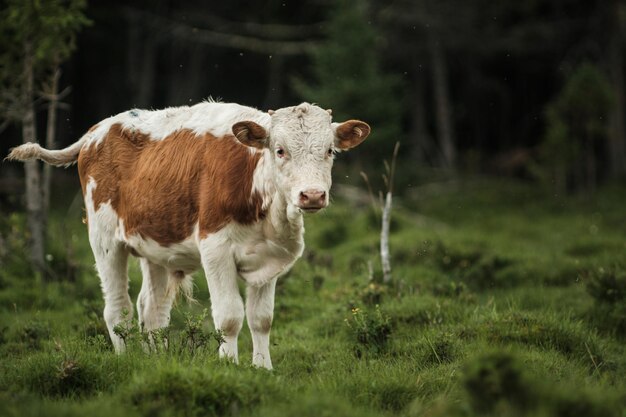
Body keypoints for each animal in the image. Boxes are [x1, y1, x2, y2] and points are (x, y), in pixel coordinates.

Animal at [7, 101, 368, 368]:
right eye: (279, 150)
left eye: (330, 151)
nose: (312, 195)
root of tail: (98, 130)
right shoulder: (215, 248)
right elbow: (229, 316)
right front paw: (229, 365)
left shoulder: (270, 258)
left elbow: (261, 319)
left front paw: (262, 368)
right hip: (105, 239)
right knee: (118, 309)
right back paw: (125, 360)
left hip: (156, 246)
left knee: (151, 310)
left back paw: (153, 360)